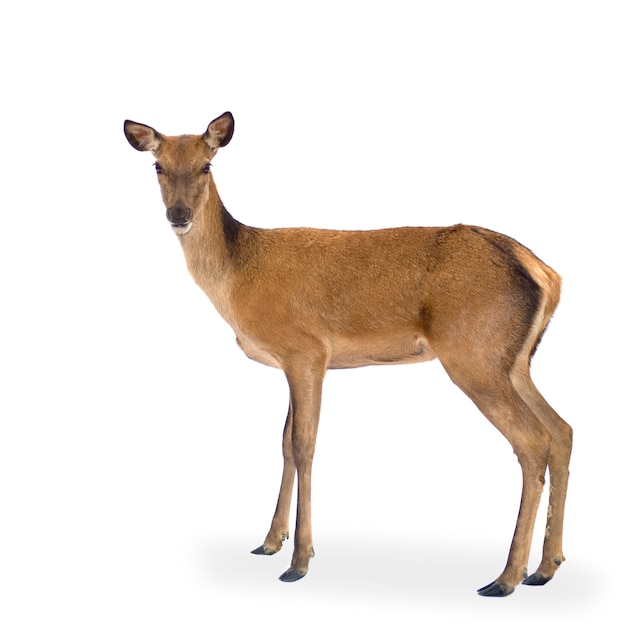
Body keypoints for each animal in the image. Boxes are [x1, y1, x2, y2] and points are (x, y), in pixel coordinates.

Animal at [122, 112, 572, 596]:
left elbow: (304, 444)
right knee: (561, 430)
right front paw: (270, 541)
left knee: (533, 441)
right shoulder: (291, 362)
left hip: (474, 353)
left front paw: (299, 561)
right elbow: (283, 441)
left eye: (207, 165)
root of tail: (546, 274)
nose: (179, 215)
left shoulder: (306, 350)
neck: (238, 280)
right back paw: (546, 567)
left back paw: (506, 576)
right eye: (158, 166)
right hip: (514, 361)